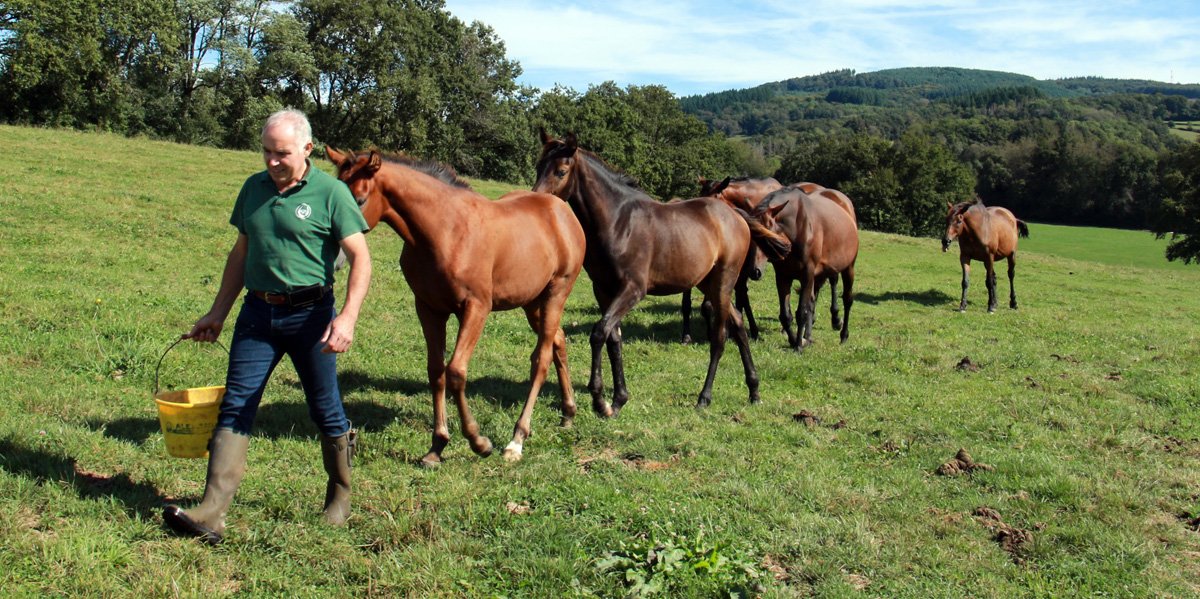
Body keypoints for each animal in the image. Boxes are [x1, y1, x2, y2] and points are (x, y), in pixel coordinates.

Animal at [326, 148, 586, 465]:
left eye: (360, 199)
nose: (337, 258)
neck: (445, 231)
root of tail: (562, 211)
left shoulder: (476, 308)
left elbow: (456, 372)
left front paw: (478, 441)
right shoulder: (428, 309)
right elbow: (436, 371)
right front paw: (437, 445)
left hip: (556, 294)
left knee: (541, 360)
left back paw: (517, 439)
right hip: (532, 303)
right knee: (559, 340)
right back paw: (568, 412)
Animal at [534, 131, 781, 414]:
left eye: (561, 171)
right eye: (538, 167)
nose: (536, 200)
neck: (619, 222)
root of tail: (736, 215)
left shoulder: (633, 290)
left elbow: (598, 333)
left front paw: (599, 399)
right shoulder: (603, 290)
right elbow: (613, 339)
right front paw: (618, 399)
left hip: (723, 282)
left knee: (720, 337)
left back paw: (704, 397)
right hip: (709, 284)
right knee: (739, 325)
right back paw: (754, 390)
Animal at [744, 187, 859, 351]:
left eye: (767, 237)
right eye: (750, 235)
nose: (754, 271)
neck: (797, 228)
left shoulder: (807, 274)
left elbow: (802, 311)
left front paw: (798, 346)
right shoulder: (783, 276)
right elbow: (786, 315)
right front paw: (795, 340)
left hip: (848, 268)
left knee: (847, 300)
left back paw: (843, 334)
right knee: (813, 300)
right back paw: (809, 336)